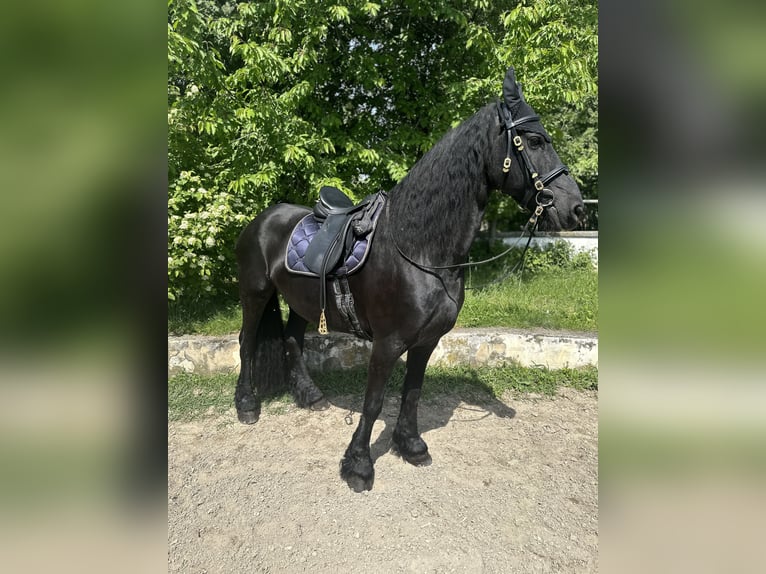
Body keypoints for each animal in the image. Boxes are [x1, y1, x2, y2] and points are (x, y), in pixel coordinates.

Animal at [237, 66, 584, 490]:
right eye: (534, 140)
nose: (576, 209)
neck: (420, 251)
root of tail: (263, 218)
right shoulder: (388, 343)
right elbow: (373, 402)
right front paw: (358, 465)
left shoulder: (427, 340)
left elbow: (412, 392)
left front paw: (411, 445)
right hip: (255, 293)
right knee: (247, 341)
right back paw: (247, 405)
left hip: (302, 301)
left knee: (291, 339)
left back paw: (309, 395)